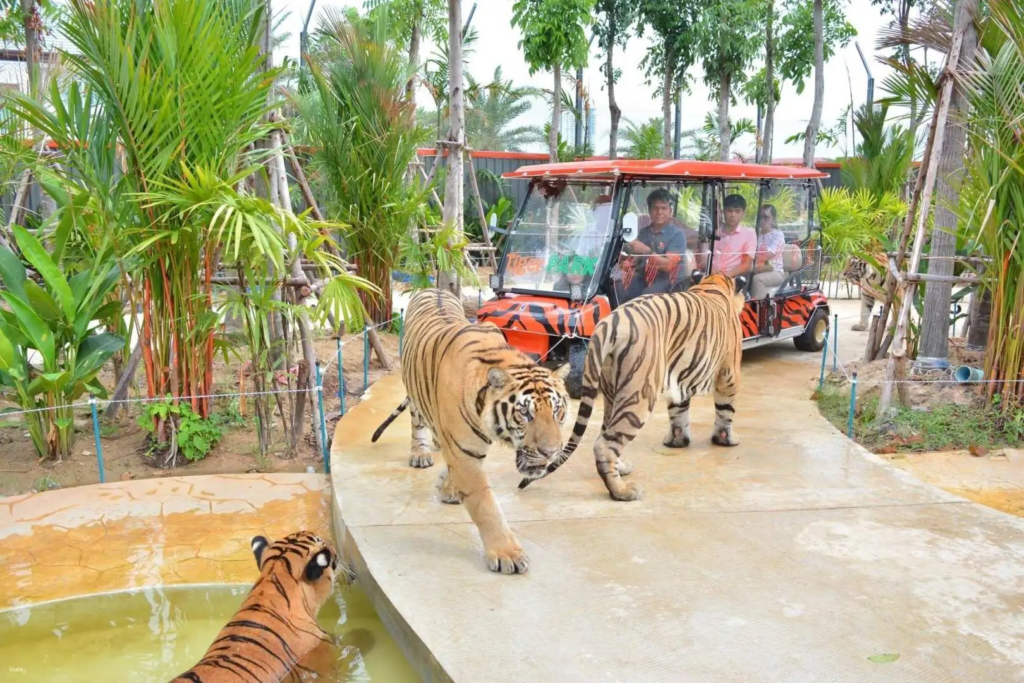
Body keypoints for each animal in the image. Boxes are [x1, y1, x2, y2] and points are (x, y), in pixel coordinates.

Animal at [371, 288, 570, 574]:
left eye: (557, 411)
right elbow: (485, 505)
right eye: (525, 413)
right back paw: (420, 453)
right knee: (417, 422)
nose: (550, 452)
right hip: (413, 390)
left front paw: (447, 486)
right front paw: (508, 554)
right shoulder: (465, 454)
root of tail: (433, 288)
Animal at [519, 272, 746, 502]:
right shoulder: (729, 374)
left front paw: (677, 440)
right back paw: (622, 491)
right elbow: (726, 411)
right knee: (605, 445)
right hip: (639, 393)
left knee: (606, 433)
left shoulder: (679, 380)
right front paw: (725, 439)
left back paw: (621, 468)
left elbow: (679, 412)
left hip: (612, 391)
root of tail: (610, 322)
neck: (713, 284)